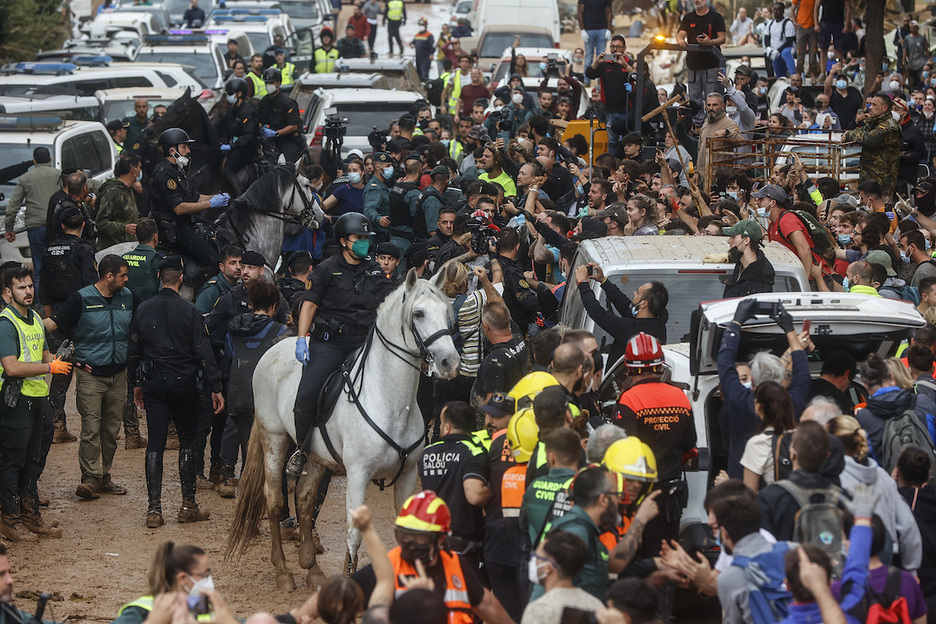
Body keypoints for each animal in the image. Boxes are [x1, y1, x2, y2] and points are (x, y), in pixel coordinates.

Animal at [227, 270, 460, 588]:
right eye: (419, 313)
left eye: (448, 314)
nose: (451, 362)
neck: (392, 402)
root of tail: (276, 347)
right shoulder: (358, 475)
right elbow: (354, 536)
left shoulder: (408, 475)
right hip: (273, 438)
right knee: (274, 500)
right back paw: (283, 571)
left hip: (314, 455)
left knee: (304, 498)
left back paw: (311, 567)